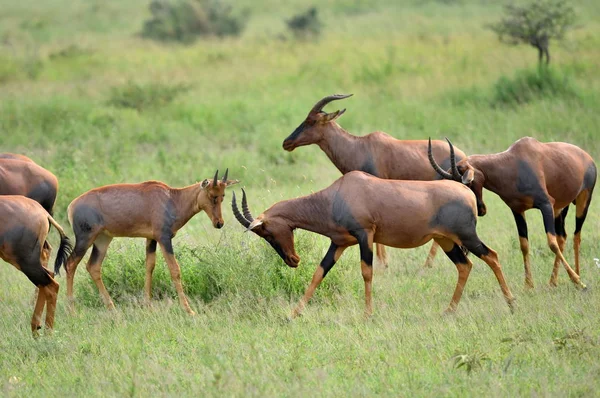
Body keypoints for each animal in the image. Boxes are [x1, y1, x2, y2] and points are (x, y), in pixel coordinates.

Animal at [0, 196, 72, 336]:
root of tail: (43, 212)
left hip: (26, 263)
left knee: (51, 285)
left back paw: (45, 333)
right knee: (48, 278)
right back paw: (37, 328)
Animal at [62, 169, 238, 316]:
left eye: (223, 196)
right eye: (212, 196)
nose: (219, 223)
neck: (171, 198)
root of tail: (71, 207)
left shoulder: (151, 238)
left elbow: (149, 266)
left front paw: (148, 306)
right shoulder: (164, 238)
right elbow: (175, 270)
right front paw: (189, 310)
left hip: (103, 239)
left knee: (93, 266)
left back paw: (112, 309)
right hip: (85, 238)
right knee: (70, 264)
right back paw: (72, 311)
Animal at [232, 171, 512, 318]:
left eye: (266, 232)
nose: (293, 260)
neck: (338, 194)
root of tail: (467, 193)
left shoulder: (364, 235)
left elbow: (367, 271)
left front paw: (368, 314)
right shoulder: (339, 243)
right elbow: (319, 273)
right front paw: (293, 314)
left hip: (466, 236)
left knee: (492, 256)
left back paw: (511, 303)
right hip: (446, 241)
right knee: (465, 266)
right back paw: (449, 311)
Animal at [282, 94, 468, 268]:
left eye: (311, 120)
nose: (286, 142)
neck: (360, 147)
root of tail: (462, 156)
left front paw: (382, 263)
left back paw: (428, 264)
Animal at [428, 137, 592, 290]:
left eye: (468, 182)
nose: (480, 209)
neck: (512, 164)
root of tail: (587, 156)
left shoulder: (546, 205)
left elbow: (552, 243)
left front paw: (578, 281)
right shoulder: (517, 210)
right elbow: (524, 245)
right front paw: (528, 286)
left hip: (583, 201)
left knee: (576, 236)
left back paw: (578, 277)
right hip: (560, 208)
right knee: (563, 237)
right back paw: (553, 282)